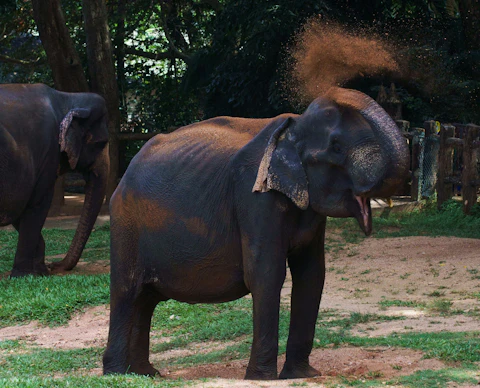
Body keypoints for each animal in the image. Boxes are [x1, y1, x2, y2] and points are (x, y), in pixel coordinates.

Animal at [0, 83, 109, 278]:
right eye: (101, 143)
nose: (55, 265)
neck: (66, 97)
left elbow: (20, 208)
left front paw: (40, 271)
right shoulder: (47, 153)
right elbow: (37, 204)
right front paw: (24, 275)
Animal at [104, 87, 408, 378]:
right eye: (336, 147)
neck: (292, 129)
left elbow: (312, 274)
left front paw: (301, 375)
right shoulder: (254, 198)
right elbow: (266, 273)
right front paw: (263, 377)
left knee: (146, 299)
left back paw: (145, 374)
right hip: (126, 224)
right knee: (126, 291)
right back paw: (118, 373)